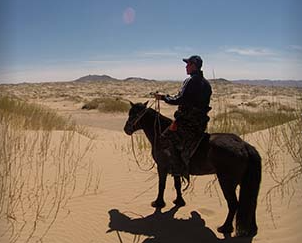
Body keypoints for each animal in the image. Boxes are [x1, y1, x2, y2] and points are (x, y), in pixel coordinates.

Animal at [124, 101, 260, 237]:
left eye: (133, 114)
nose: (126, 129)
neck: (160, 134)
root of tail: (244, 146)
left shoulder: (161, 167)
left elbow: (161, 185)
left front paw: (158, 203)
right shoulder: (176, 168)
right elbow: (177, 185)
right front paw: (179, 201)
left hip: (227, 182)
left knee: (233, 204)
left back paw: (225, 228)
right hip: (243, 182)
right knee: (251, 203)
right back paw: (251, 229)